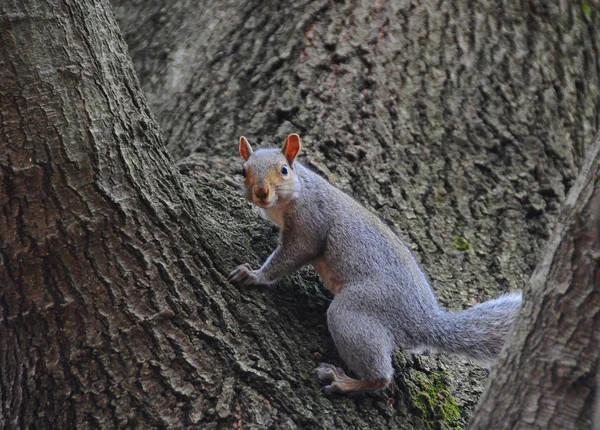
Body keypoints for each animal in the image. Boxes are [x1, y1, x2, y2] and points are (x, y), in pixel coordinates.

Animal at [227, 134, 524, 394]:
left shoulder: (309, 223)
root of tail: (424, 321)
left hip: (357, 310)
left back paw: (346, 382)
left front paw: (255, 275)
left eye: (284, 169)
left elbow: (291, 255)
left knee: (380, 376)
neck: (295, 193)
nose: (261, 192)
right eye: (243, 171)